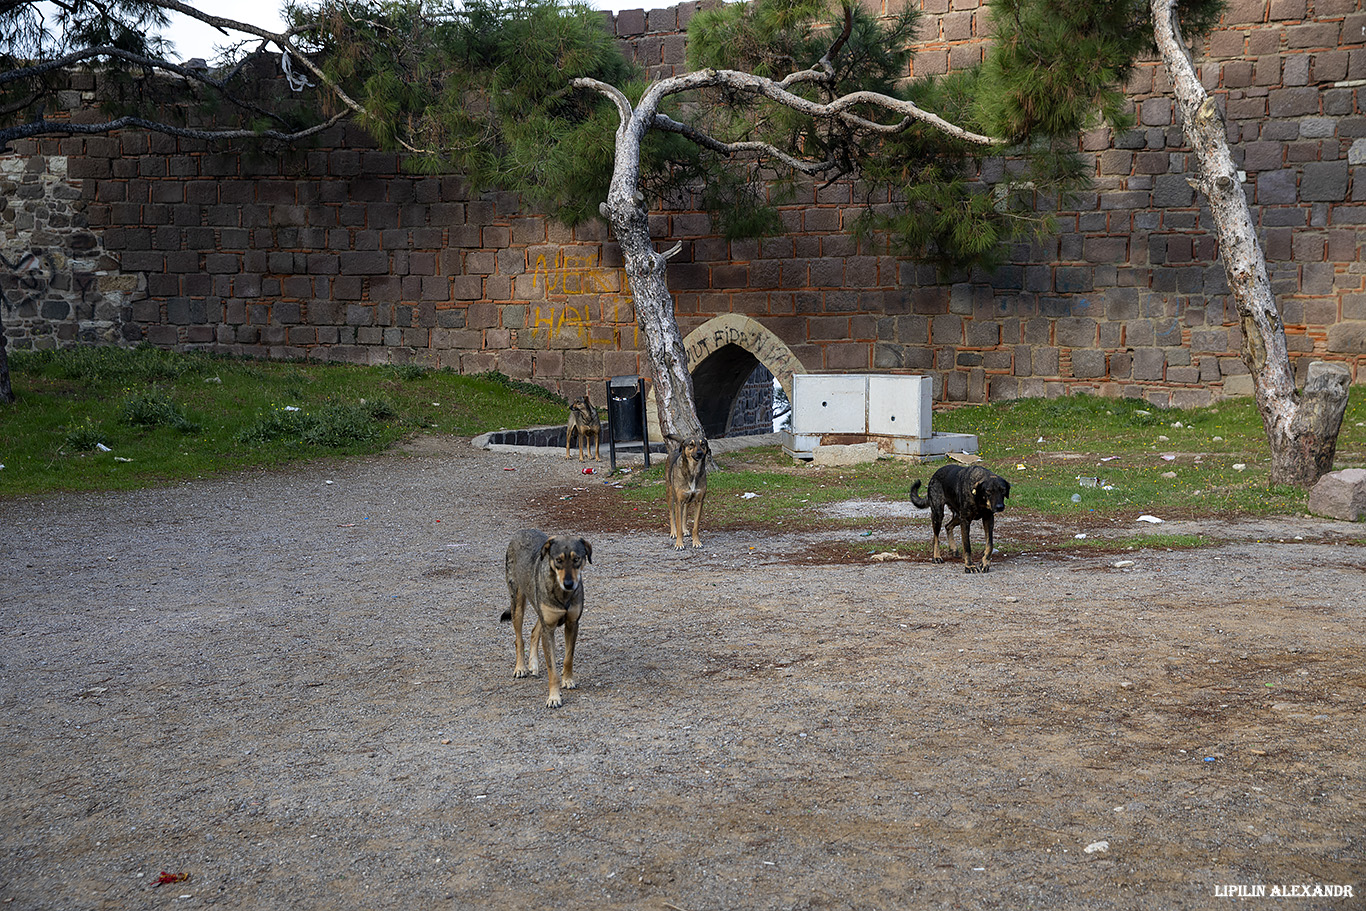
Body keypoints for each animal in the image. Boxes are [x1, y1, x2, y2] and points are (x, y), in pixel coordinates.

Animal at [499, 529, 590, 710]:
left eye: (576, 559)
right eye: (558, 560)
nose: (569, 584)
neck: (562, 595)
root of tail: (522, 530)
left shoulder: (571, 624)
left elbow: (568, 658)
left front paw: (567, 680)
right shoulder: (549, 628)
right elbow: (552, 670)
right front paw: (554, 698)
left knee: (534, 632)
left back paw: (533, 664)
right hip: (517, 605)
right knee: (519, 639)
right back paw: (521, 667)